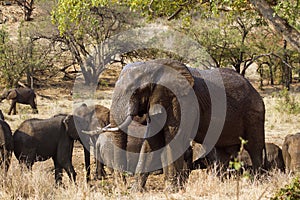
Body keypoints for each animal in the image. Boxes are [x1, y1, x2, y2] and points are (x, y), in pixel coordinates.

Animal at [105, 58, 264, 189]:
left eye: (135, 91)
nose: (123, 186)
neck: (154, 64)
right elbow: (152, 143)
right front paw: (135, 191)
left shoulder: (181, 102)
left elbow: (173, 140)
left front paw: (171, 190)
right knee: (222, 151)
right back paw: (221, 184)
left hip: (254, 114)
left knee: (254, 147)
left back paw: (257, 182)